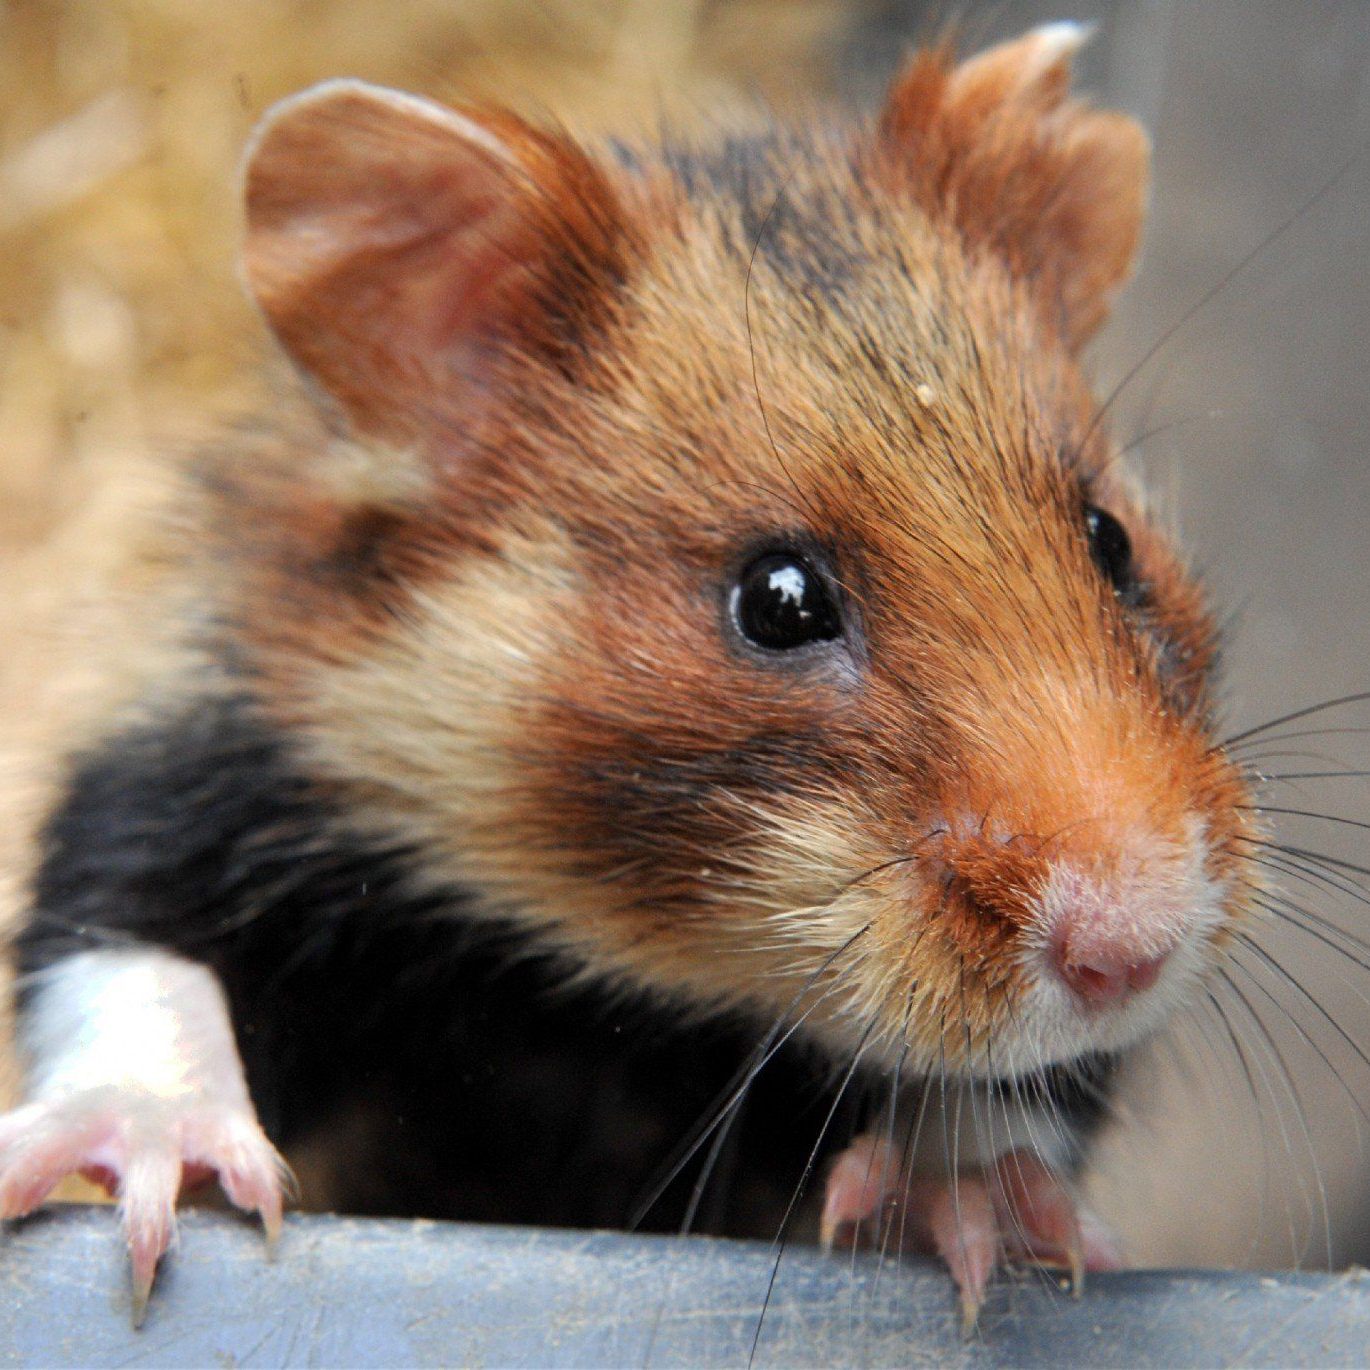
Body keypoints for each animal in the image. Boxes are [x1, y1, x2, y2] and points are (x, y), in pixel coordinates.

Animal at [0, 22, 1260, 1326]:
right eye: (776, 600)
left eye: (1110, 538)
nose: (1135, 951)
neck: (618, 969)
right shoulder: (186, 776)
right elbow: (138, 964)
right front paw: (149, 1196)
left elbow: (997, 1089)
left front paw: (990, 1222)